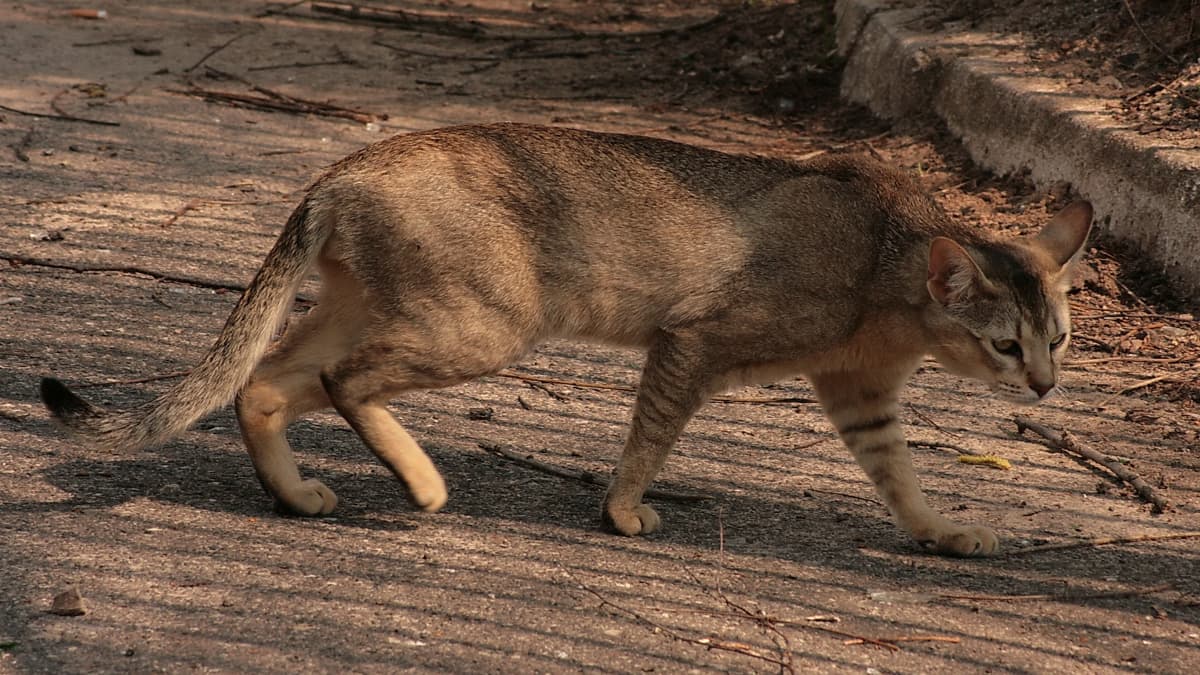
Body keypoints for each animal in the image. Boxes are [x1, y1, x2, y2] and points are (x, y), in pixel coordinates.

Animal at [39, 120, 1089, 552]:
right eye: (1006, 344)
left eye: (1063, 339)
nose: (1042, 387)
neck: (885, 262)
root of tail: (344, 167)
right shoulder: (692, 342)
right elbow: (650, 437)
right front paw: (622, 513)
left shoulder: (860, 394)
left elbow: (899, 477)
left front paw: (941, 530)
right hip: (482, 325)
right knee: (345, 381)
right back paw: (422, 484)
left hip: (378, 306)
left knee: (264, 382)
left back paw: (298, 495)